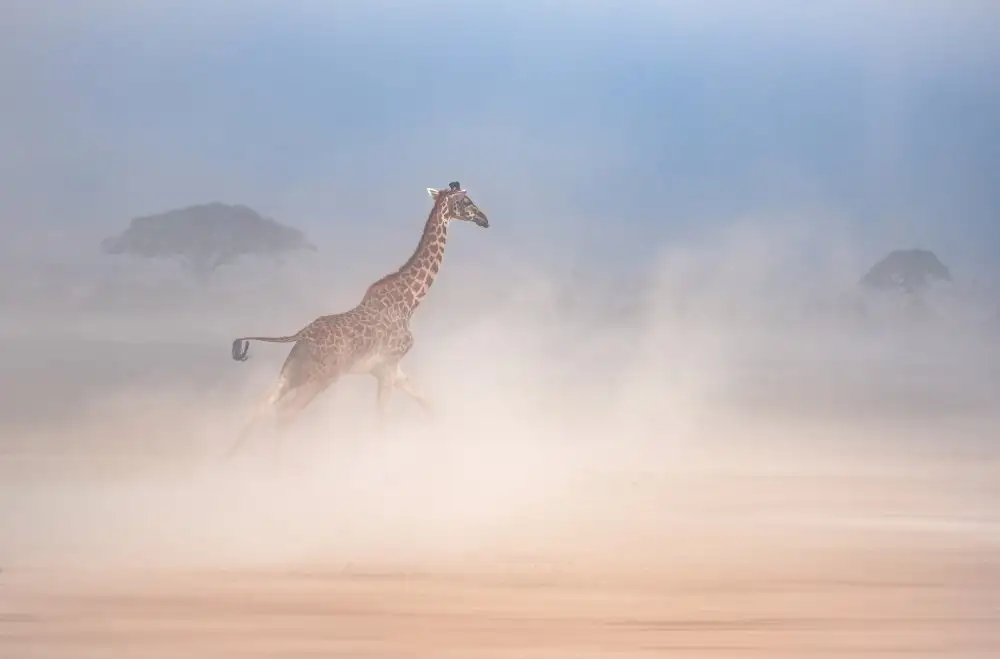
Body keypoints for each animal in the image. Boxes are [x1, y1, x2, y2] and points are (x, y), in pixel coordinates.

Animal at [226, 181, 489, 457]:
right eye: (467, 201)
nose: (485, 219)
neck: (409, 301)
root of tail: (301, 334)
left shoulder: (390, 368)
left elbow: (427, 403)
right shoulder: (388, 366)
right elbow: (381, 420)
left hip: (290, 373)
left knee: (259, 408)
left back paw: (228, 461)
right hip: (321, 378)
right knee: (286, 414)